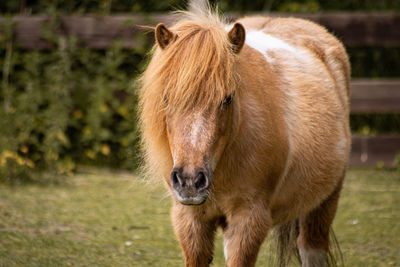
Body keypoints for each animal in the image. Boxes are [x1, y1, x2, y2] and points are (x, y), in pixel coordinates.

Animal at [138, 2, 350, 267]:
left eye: (227, 99)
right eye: (166, 98)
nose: (189, 181)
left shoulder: (248, 222)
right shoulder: (191, 221)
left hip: (323, 208)